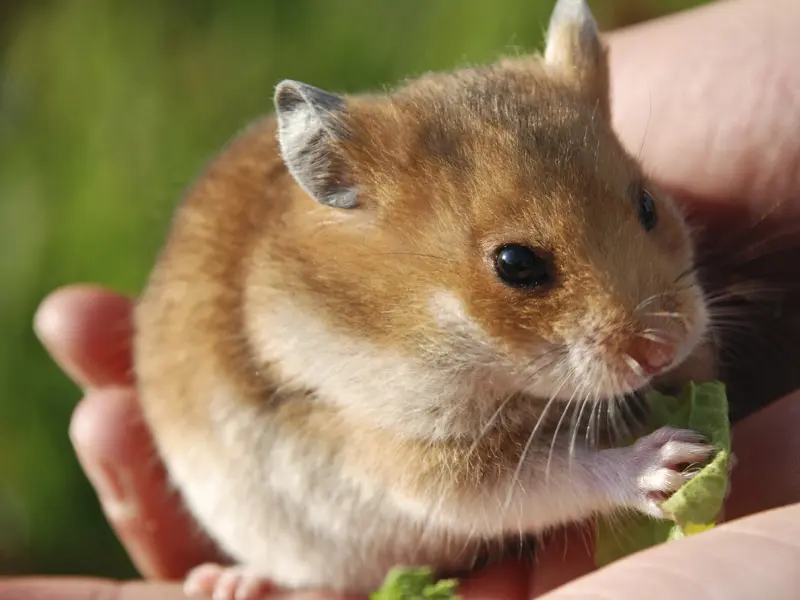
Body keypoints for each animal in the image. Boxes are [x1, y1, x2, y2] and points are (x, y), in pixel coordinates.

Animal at [133, 0, 719, 598]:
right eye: (515, 263)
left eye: (647, 205)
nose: (663, 349)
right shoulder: (425, 462)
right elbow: (556, 474)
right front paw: (676, 461)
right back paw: (228, 583)